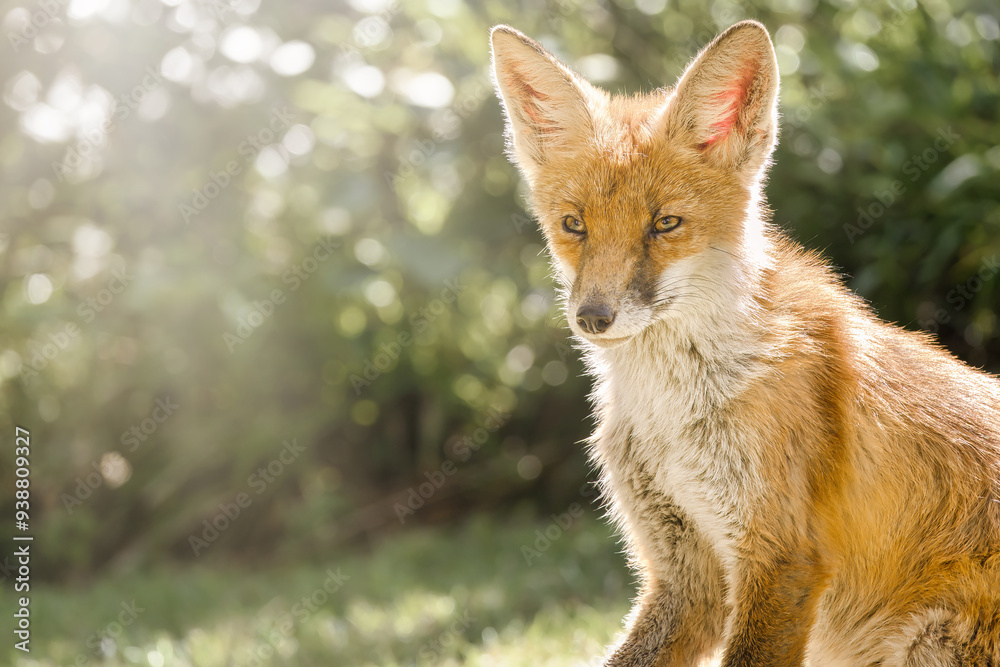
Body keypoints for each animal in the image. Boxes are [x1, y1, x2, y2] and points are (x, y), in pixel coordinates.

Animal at [490, 20, 1000, 667]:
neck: (672, 414)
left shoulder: (782, 557)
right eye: (573, 225)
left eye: (665, 224)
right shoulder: (688, 576)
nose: (593, 317)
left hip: (927, 644)